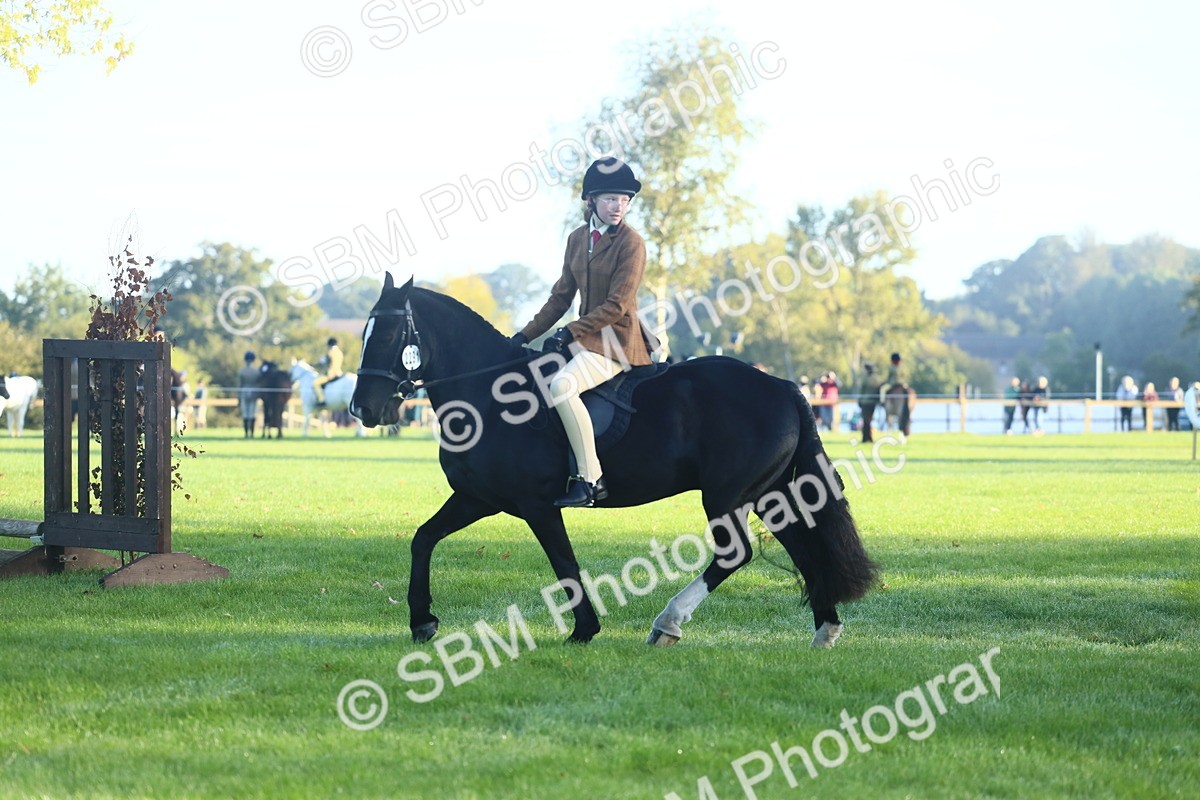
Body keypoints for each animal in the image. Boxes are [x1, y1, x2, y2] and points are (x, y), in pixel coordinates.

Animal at [349, 274, 877, 648]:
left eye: (391, 332)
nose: (361, 409)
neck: (487, 393)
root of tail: (782, 386)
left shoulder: (537, 505)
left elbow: (563, 561)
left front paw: (584, 629)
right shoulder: (476, 497)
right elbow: (423, 539)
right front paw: (422, 621)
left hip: (727, 495)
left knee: (735, 554)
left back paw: (668, 623)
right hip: (769, 494)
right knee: (801, 548)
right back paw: (825, 629)